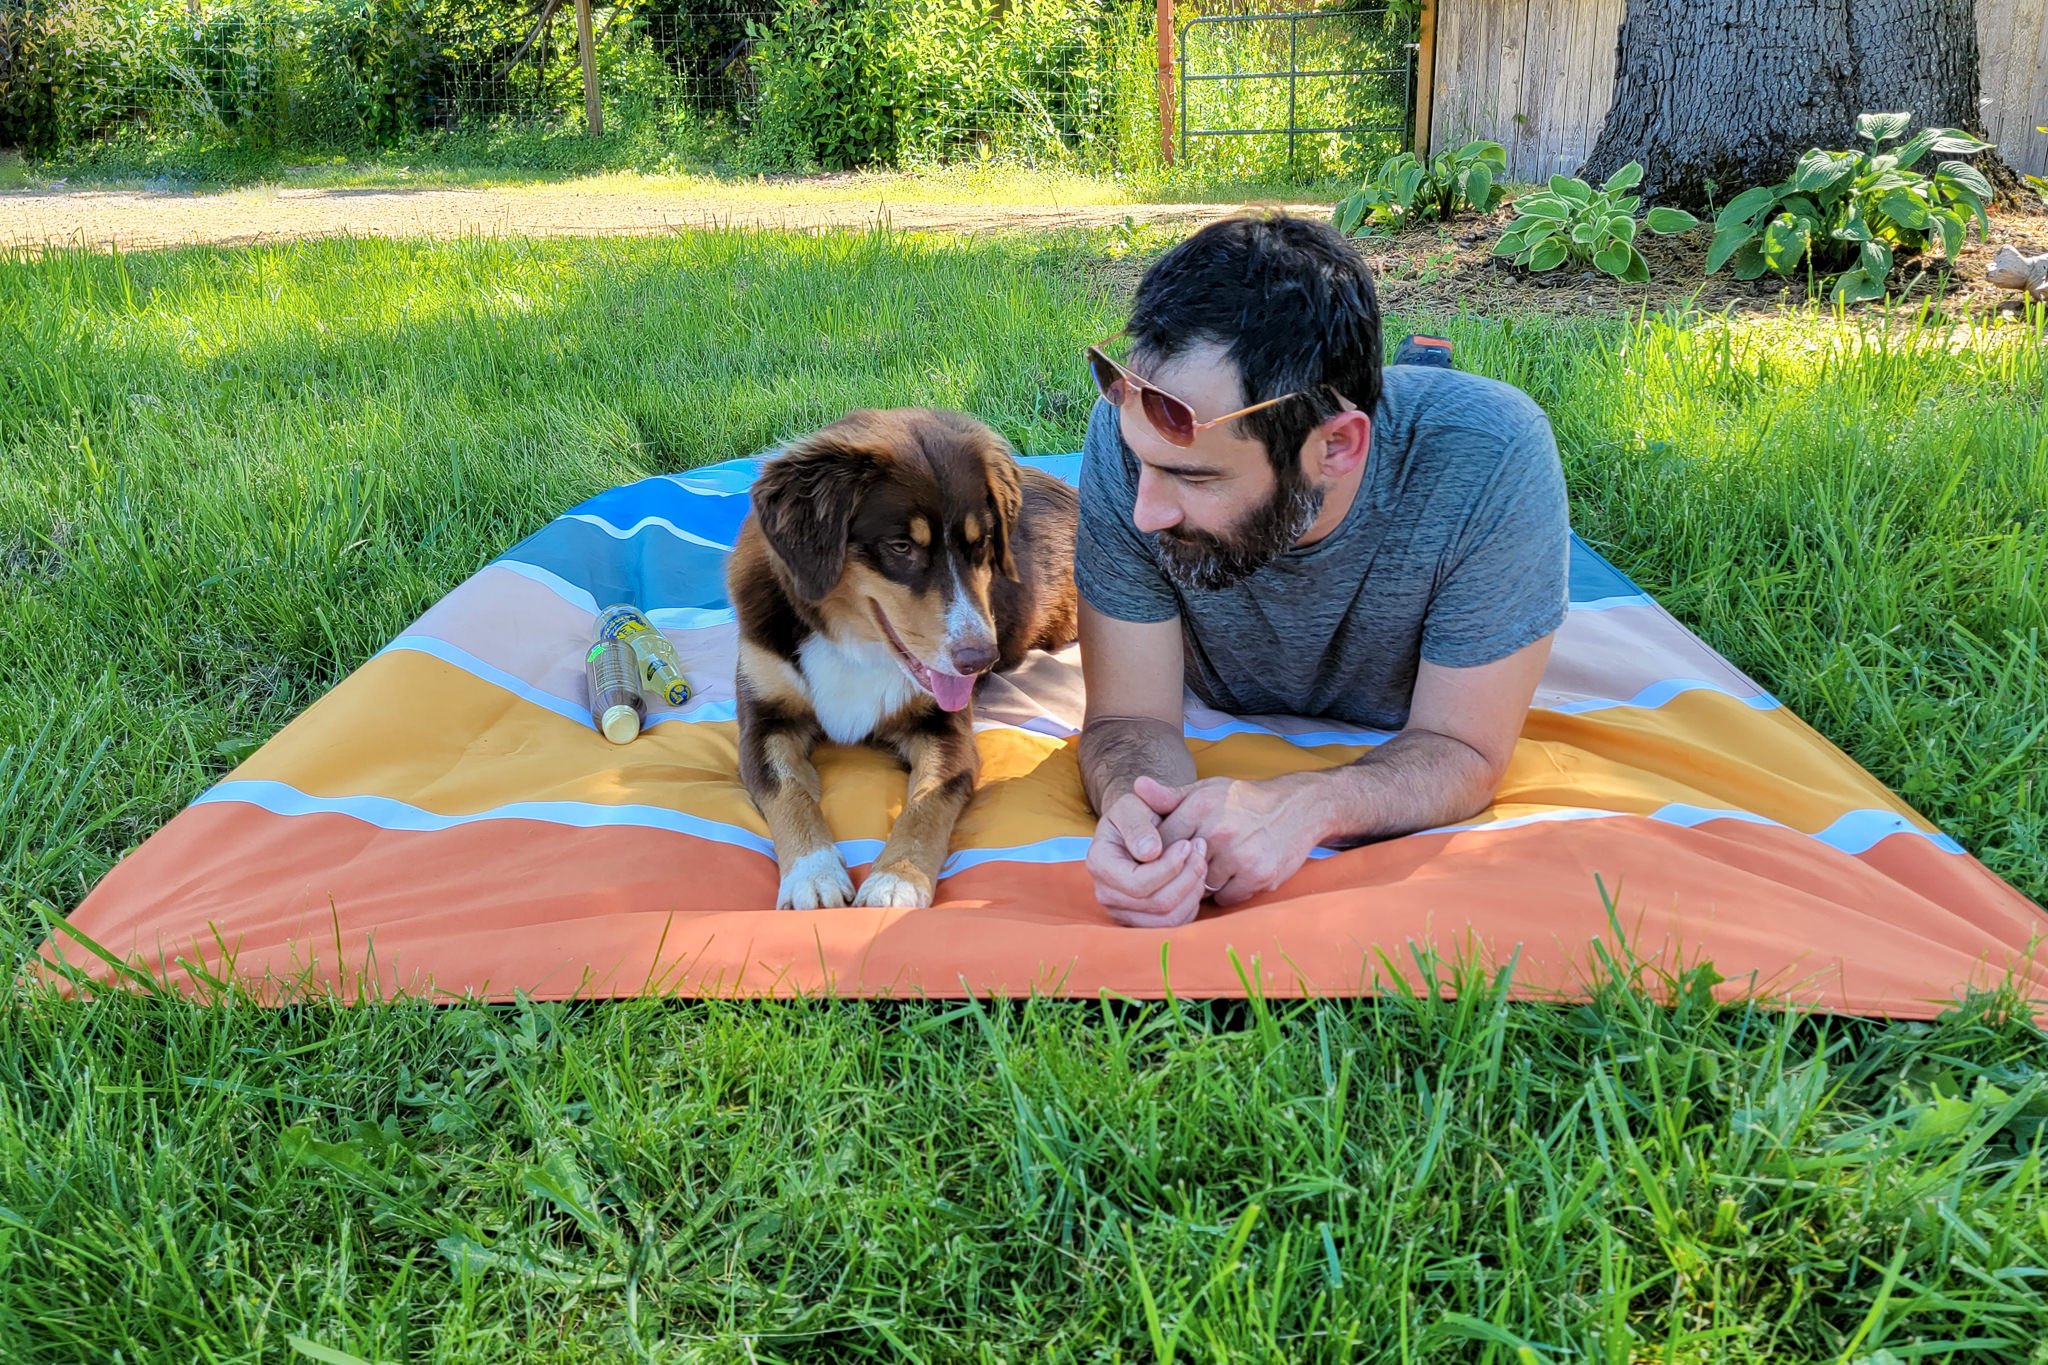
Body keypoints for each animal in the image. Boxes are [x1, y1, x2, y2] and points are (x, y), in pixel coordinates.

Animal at [733, 411, 1089, 912]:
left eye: (981, 543)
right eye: (901, 546)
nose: (980, 659)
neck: (856, 643)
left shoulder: (942, 727)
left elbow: (929, 799)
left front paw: (896, 879)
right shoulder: (765, 720)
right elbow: (788, 790)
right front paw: (813, 874)